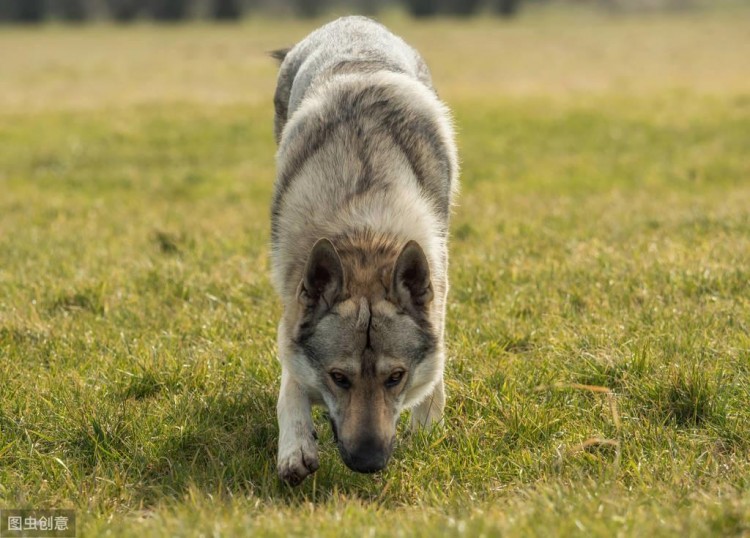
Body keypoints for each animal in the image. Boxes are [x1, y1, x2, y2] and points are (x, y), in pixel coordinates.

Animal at [270, 16, 458, 484]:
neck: (364, 233)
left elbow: (435, 378)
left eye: (395, 377)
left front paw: (427, 430)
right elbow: (291, 386)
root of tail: (352, 20)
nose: (369, 462)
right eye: (339, 377)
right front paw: (295, 447)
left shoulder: (440, 292)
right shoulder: (291, 317)